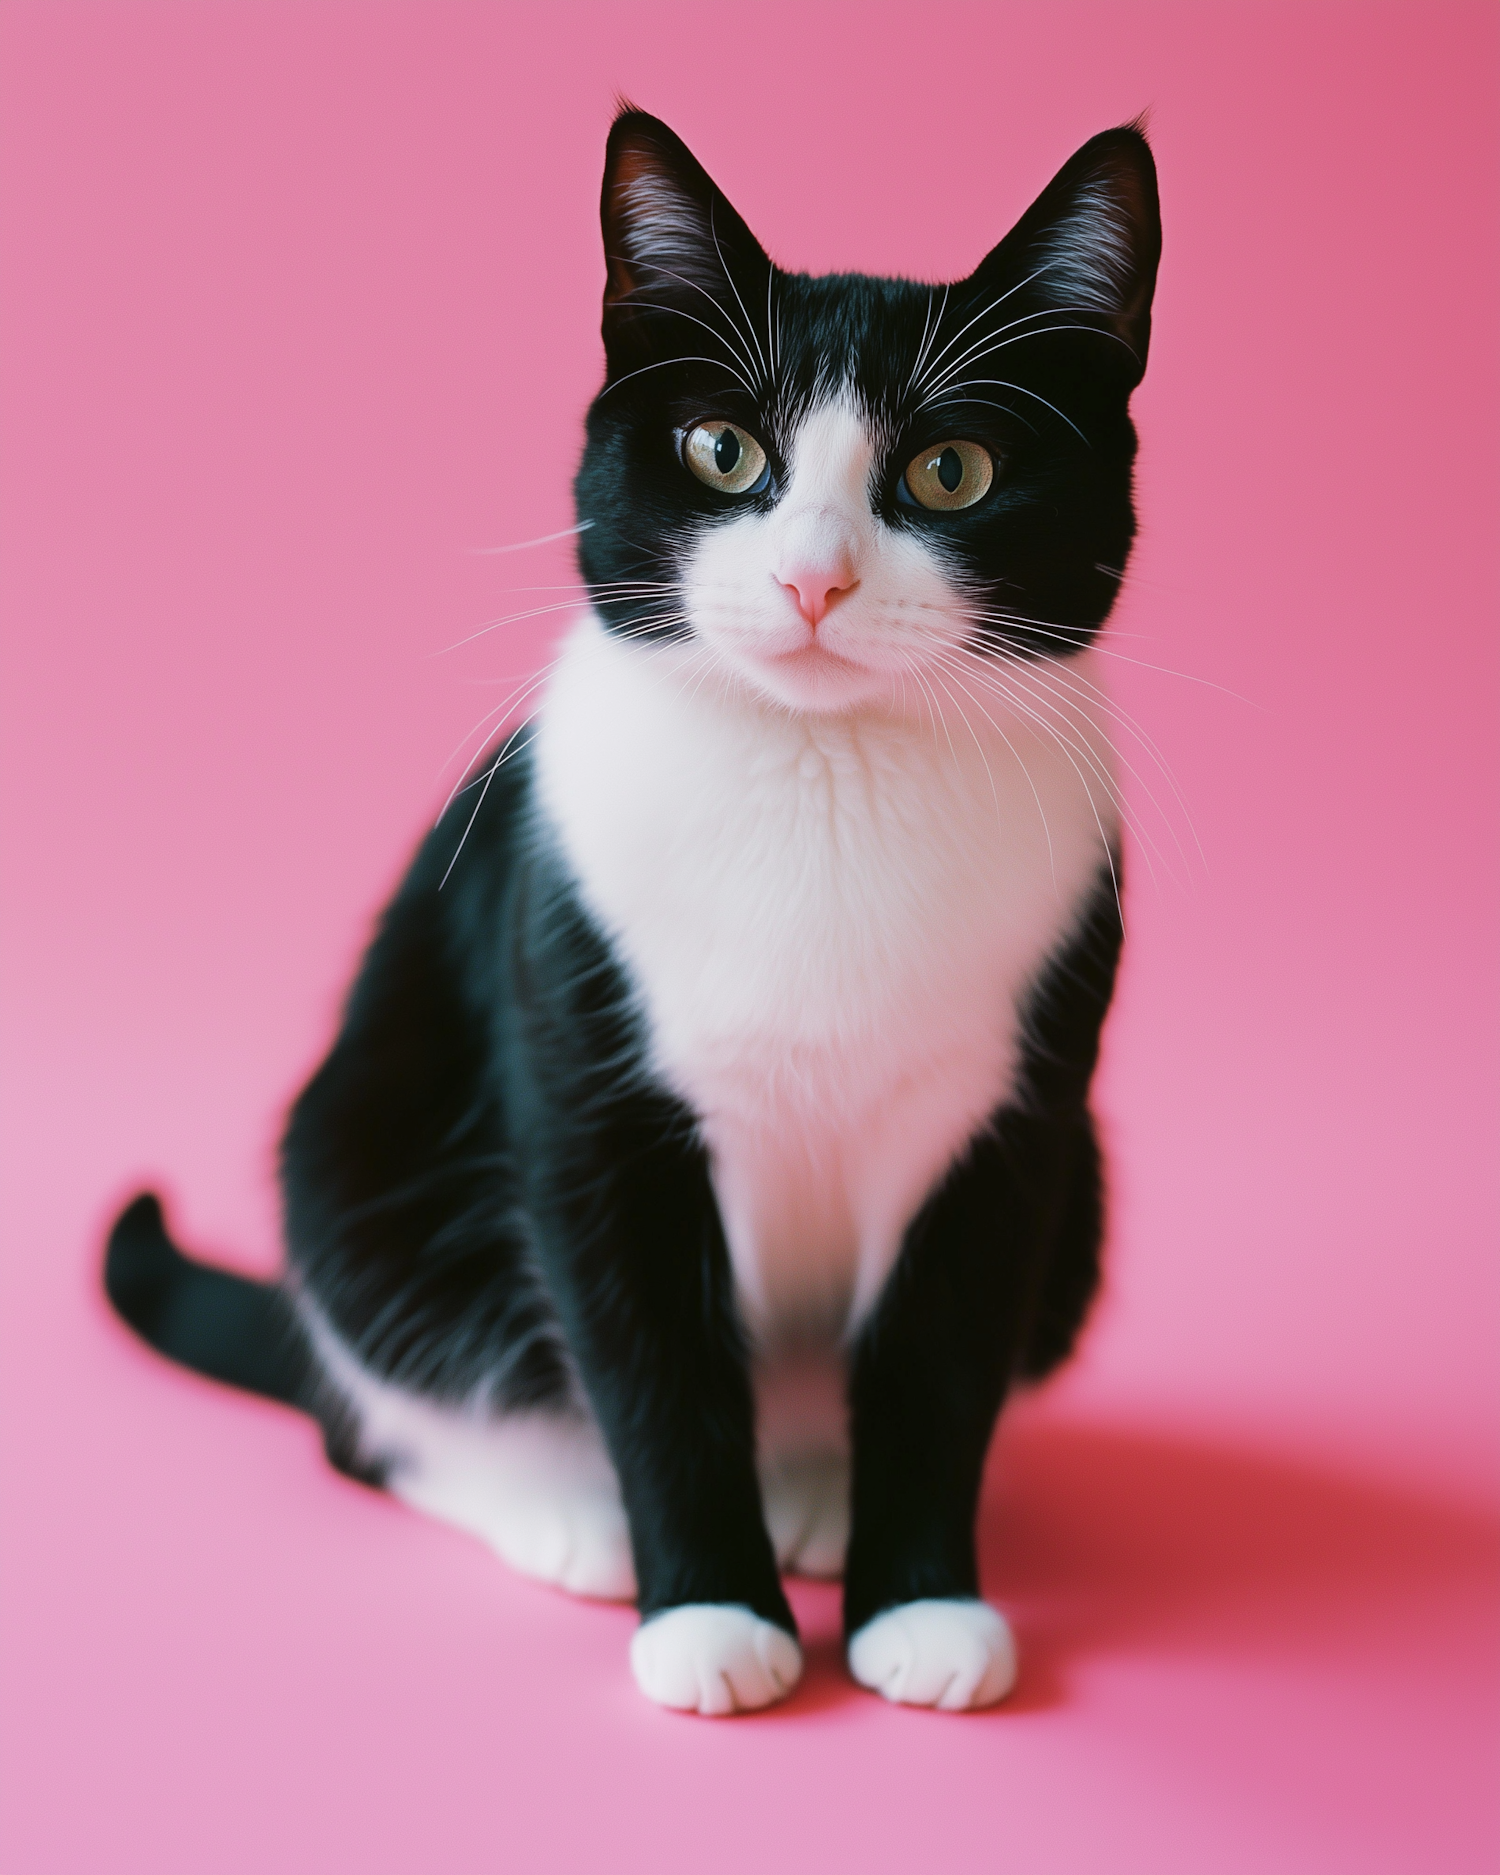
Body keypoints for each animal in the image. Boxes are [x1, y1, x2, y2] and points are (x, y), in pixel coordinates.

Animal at [105, 102, 1162, 1717]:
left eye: (953, 472)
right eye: (724, 450)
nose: (811, 577)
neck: (826, 772)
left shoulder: (1015, 1127)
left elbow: (943, 1363)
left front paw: (919, 1599)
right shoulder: (590, 1095)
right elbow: (653, 1363)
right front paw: (710, 1608)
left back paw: (813, 1487)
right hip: (358, 1153)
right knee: (374, 1410)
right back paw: (567, 1508)